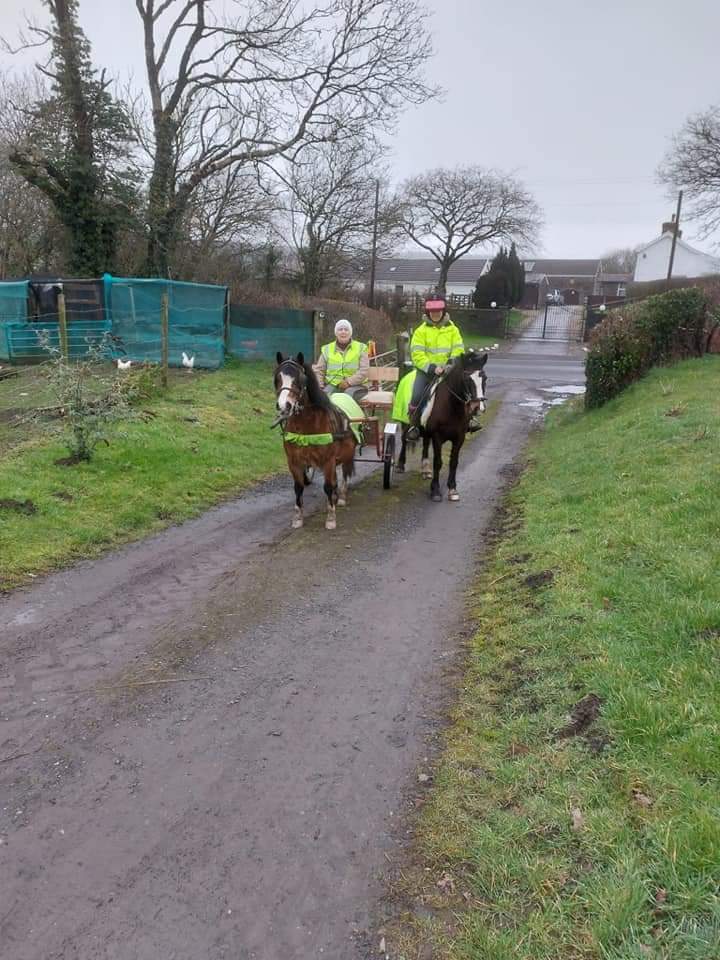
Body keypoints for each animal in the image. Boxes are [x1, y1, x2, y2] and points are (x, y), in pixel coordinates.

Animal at [272, 352, 358, 532]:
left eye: (300, 380)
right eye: (277, 378)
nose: (284, 405)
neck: (307, 425)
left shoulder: (328, 459)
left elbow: (328, 486)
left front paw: (331, 518)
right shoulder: (294, 461)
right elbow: (298, 487)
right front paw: (298, 518)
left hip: (347, 454)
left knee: (345, 473)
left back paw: (341, 497)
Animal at [394, 352, 490, 502]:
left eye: (484, 378)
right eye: (466, 378)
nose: (477, 407)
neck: (451, 407)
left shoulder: (459, 437)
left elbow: (454, 462)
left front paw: (452, 489)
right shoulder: (437, 437)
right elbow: (438, 462)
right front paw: (435, 491)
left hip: (426, 431)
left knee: (425, 444)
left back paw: (425, 470)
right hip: (405, 423)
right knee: (404, 439)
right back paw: (400, 465)